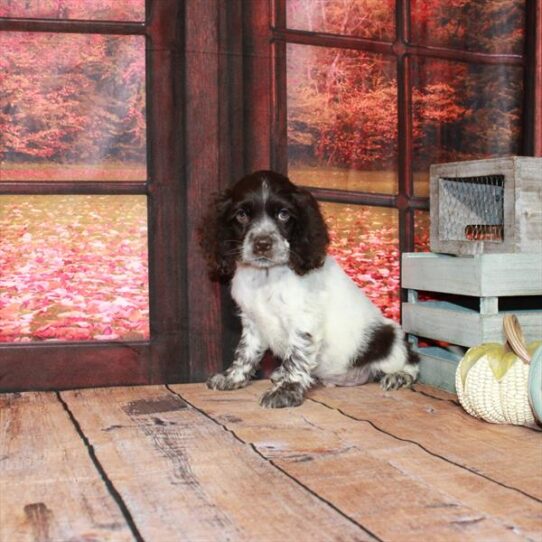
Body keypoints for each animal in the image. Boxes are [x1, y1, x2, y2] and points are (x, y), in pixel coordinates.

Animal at [200, 170, 420, 408]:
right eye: (241, 215)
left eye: (284, 214)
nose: (262, 244)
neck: (266, 276)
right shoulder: (252, 321)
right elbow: (245, 352)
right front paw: (232, 378)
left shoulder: (303, 321)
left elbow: (296, 358)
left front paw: (285, 391)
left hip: (388, 337)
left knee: (412, 361)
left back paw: (398, 376)